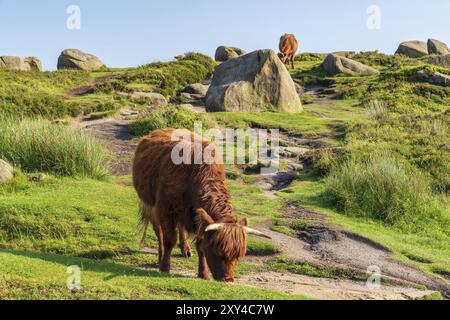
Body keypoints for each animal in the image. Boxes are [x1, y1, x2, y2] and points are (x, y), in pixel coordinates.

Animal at [132, 129, 268, 282]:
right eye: (218, 252)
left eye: (238, 255)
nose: (228, 279)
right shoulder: (165, 208)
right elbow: (169, 239)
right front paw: (165, 267)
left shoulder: (200, 217)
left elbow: (201, 246)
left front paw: (203, 273)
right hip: (150, 204)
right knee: (158, 230)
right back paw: (161, 257)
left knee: (181, 227)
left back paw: (185, 249)